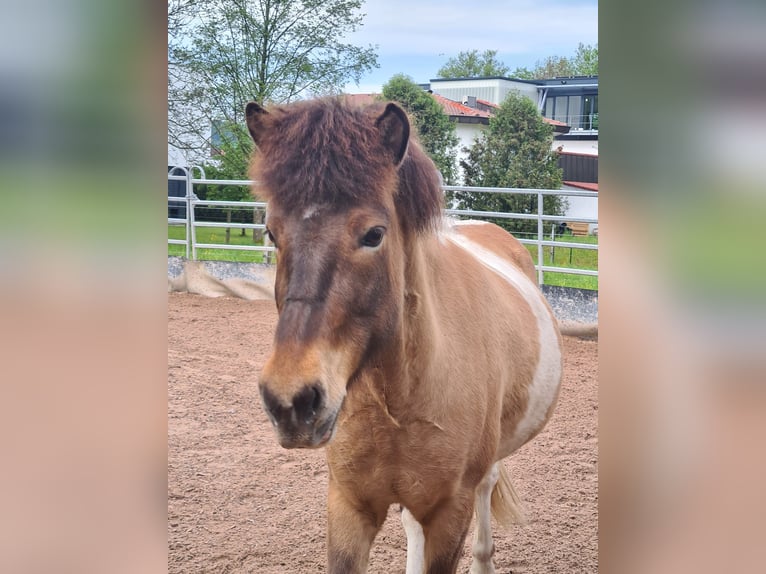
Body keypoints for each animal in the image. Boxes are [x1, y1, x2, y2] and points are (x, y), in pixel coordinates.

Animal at [246, 97, 564, 572]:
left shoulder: (450, 513)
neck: (398, 395)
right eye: (271, 232)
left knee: (486, 489)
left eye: (374, 234)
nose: (291, 401)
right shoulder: (349, 507)